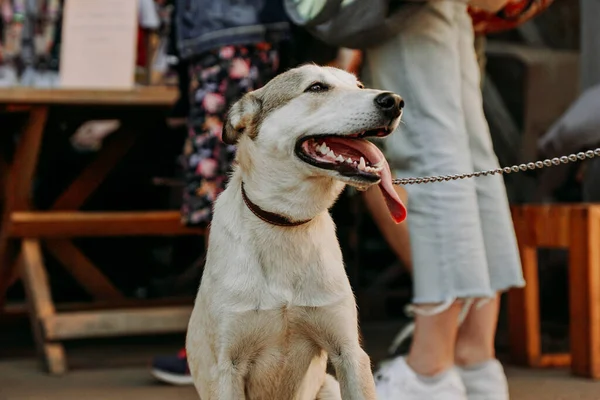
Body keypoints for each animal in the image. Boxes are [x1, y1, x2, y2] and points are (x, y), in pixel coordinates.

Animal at [185, 64, 406, 398]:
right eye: (316, 88)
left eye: (358, 85)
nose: (394, 101)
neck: (285, 220)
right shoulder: (227, 365)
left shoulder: (349, 352)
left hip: (328, 385)